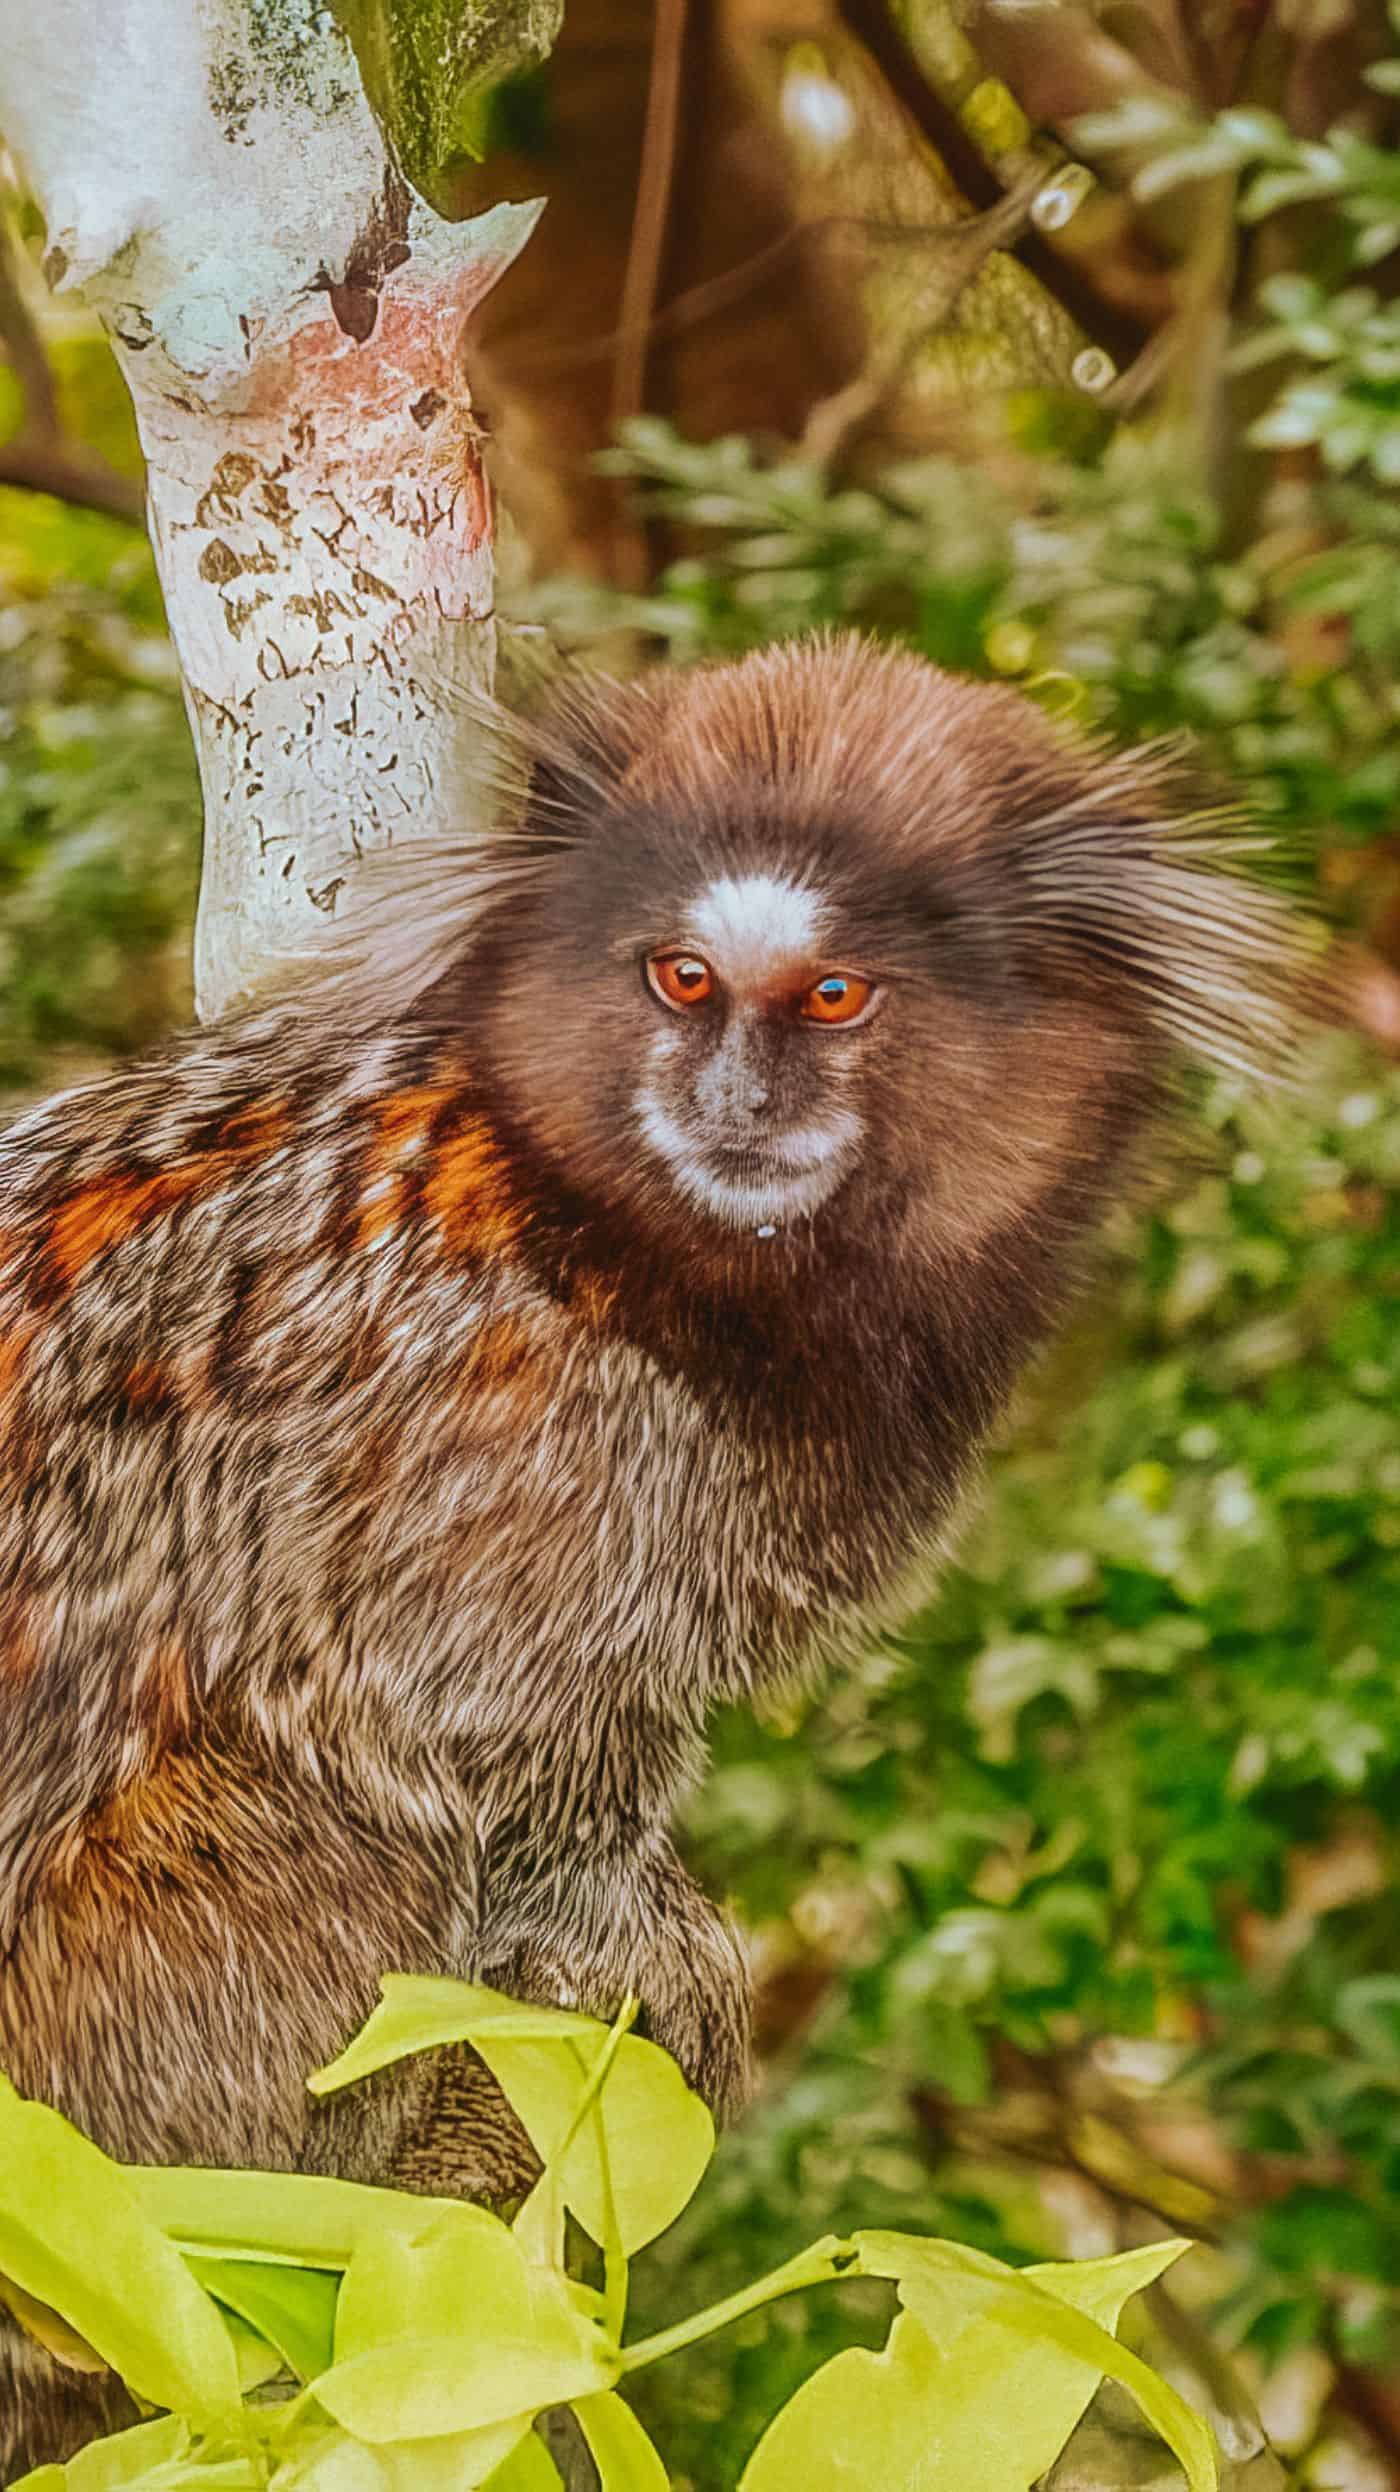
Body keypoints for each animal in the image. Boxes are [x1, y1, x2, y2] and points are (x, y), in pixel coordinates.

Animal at [0, 632, 1295, 2462]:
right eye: (682, 978)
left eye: (833, 997)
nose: (733, 1095)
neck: (617, 1239)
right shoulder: (518, 1431)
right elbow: (412, 1724)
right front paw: (641, 1956)